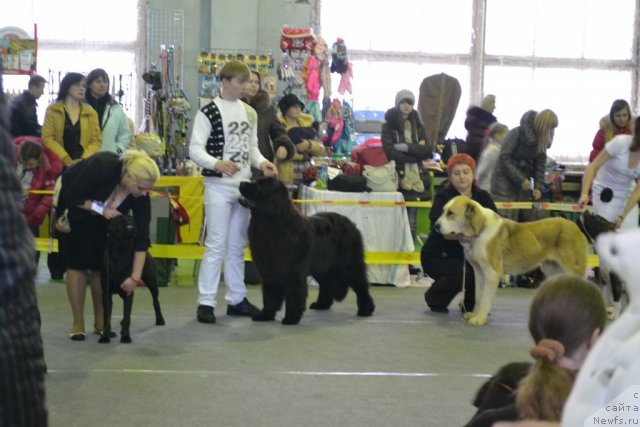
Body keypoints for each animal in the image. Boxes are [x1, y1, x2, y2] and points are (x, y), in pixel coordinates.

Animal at [100, 214, 165, 344]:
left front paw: (125, 337)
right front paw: (105, 336)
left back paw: (160, 319)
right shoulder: (106, 293)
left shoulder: (128, 291)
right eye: (118, 219)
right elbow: (107, 316)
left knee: (156, 300)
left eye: (131, 217)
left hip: (152, 282)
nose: (130, 220)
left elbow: (127, 315)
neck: (121, 252)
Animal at [240, 176, 376, 324]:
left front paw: (291, 318)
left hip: (349, 265)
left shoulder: (294, 271)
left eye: (260, 185)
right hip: (323, 267)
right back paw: (321, 305)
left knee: (361, 286)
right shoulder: (268, 270)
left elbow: (294, 294)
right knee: (326, 285)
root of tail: (351, 224)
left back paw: (366, 310)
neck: (270, 222)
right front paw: (265, 315)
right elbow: (269, 294)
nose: (241, 182)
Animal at [438, 197, 588, 328]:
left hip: (571, 268)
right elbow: (479, 296)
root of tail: (575, 227)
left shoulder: (492, 273)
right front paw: (474, 314)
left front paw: (480, 319)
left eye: (450, 213)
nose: (435, 226)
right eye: (444, 211)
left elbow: (486, 298)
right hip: (552, 269)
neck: (481, 230)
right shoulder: (479, 272)